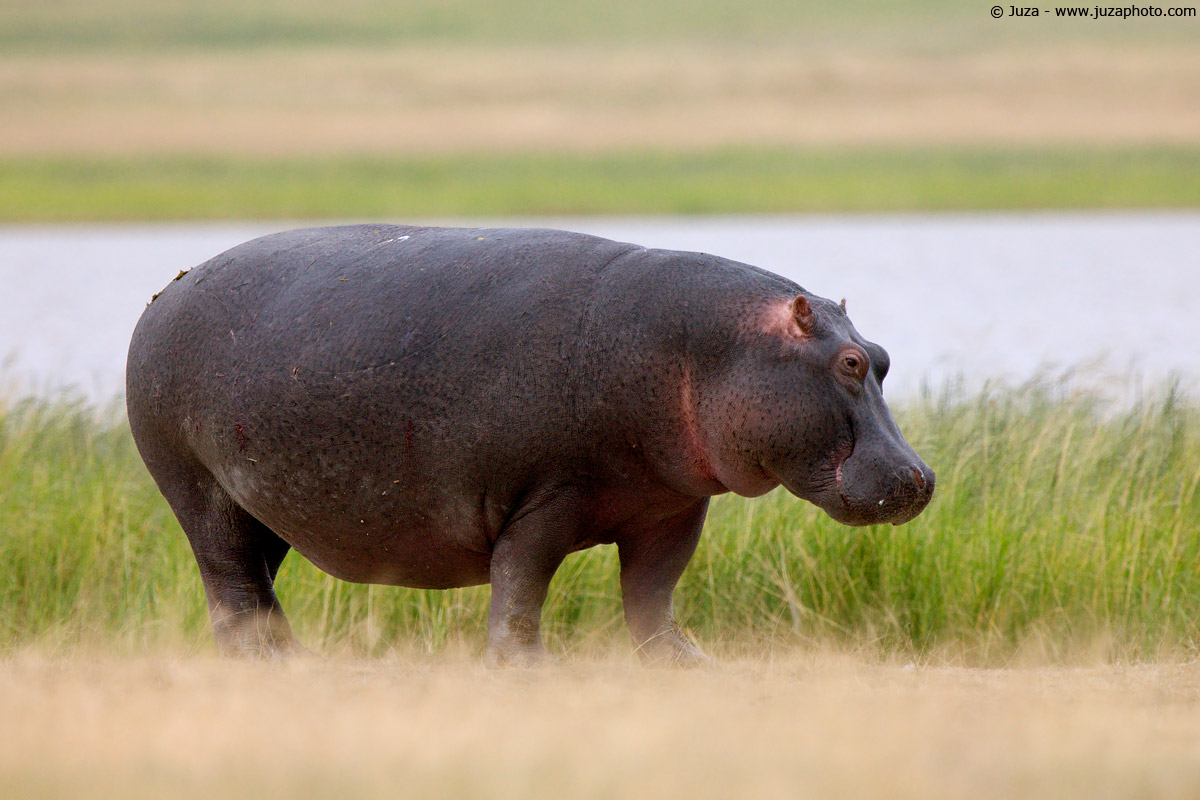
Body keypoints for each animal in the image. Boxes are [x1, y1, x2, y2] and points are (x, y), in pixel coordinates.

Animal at [126, 225, 934, 665]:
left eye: (885, 355)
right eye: (849, 363)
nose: (921, 479)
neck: (709, 347)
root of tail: (166, 292)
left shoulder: (670, 510)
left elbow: (653, 597)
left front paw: (689, 664)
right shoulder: (545, 500)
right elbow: (520, 588)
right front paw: (524, 668)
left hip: (260, 503)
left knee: (253, 585)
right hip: (199, 491)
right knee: (232, 588)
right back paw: (285, 665)